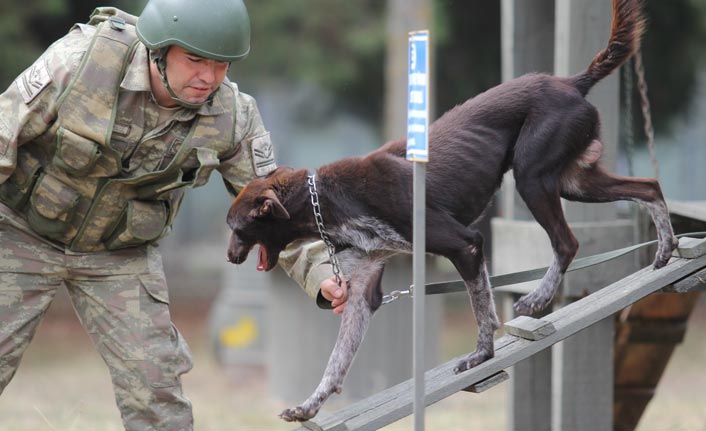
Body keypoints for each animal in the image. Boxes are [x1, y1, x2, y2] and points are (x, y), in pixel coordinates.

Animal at [223, 0, 672, 422]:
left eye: (236, 226)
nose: (228, 256)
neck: (329, 198)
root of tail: (569, 82)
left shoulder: (466, 244)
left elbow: (482, 310)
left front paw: (482, 355)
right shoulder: (364, 292)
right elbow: (335, 362)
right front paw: (309, 406)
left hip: (533, 177)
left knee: (568, 241)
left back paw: (540, 296)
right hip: (573, 182)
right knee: (648, 188)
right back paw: (665, 250)